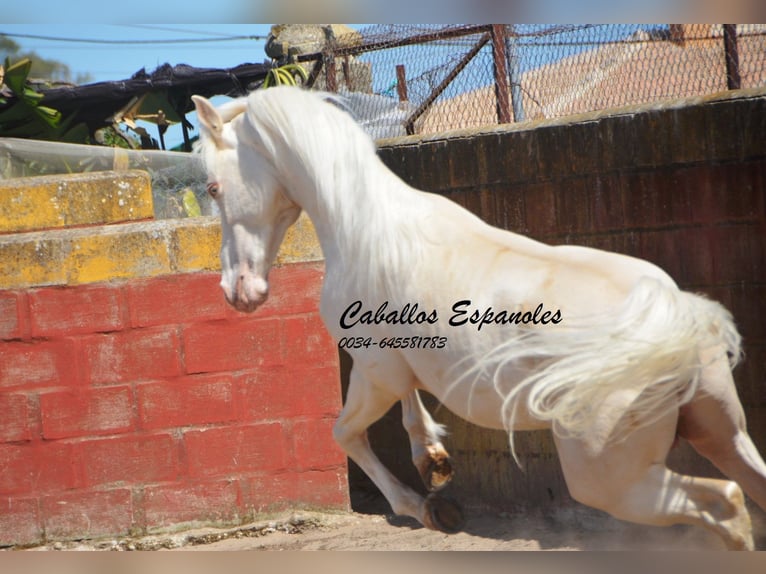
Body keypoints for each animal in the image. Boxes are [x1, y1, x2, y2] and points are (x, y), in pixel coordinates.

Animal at [192, 88, 766, 552]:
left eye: (214, 188)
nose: (237, 292)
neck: (368, 230)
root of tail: (677, 318)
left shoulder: (374, 372)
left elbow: (345, 435)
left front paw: (427, 506)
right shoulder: (400, 368)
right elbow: (410, 411)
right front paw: (434, 462)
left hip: (610, 478)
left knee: (727, 503)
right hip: (720, 434)